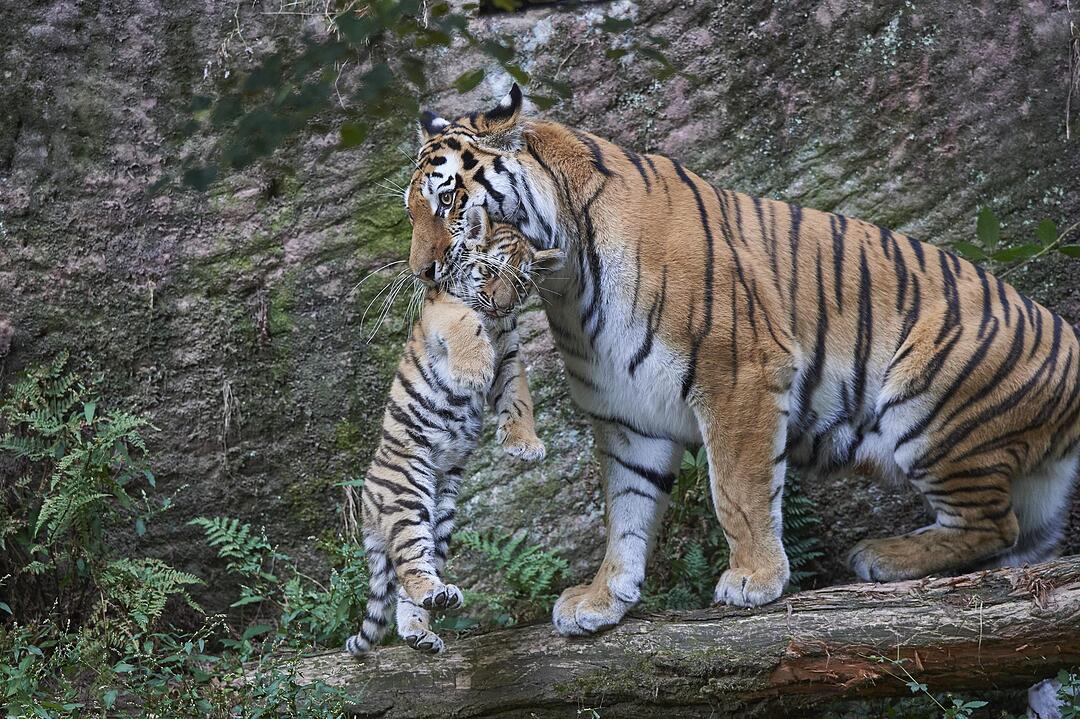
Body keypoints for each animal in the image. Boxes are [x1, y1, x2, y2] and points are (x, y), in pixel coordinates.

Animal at [345, 208, 562, 655]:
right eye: (490, 272)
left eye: (522, 283)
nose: (502, 305)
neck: (496, 325)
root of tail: (368, 503)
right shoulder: (440, 309)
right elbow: (464, 320)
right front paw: (473, 369)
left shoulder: (510, 352)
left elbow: (519, 398)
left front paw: (525, 444)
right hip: (407, 493)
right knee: (409, 563)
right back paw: (431, 597)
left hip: (442, 517)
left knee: (411, 580)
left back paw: (424, 625)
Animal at [403, 82, 1080, 637]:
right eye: (411, 211)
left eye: (449, 202)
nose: (422, 273)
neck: (566, 277)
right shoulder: (628, 416)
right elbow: (625, 513)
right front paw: (602, 599)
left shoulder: (737, 377)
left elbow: (738, 490)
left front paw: (754, 577)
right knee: (1021, 541)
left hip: (927, 404)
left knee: (991, 524)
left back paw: (882, 555)